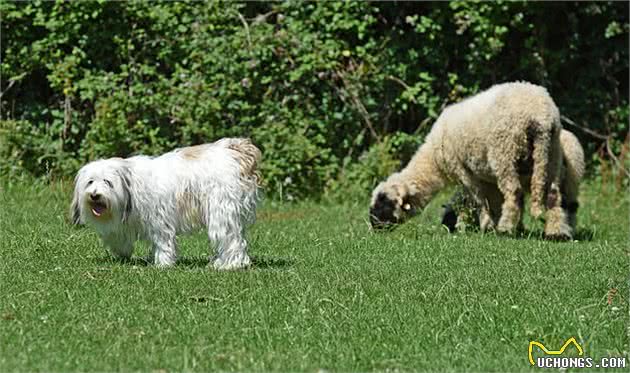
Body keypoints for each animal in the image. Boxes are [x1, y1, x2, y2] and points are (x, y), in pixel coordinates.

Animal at [71, 138, 262, 268]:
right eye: (90, 182)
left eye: (107, 182)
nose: (94, 195)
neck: (130, 187)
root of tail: (236, 151)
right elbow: (118, 237)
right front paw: (122, 253)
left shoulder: (159, 219)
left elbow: (163, 241)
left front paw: (162, 264)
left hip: (221, 212)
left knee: (233, 240)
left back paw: (229, 265)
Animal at [370, 80, 572, 238]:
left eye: (383, 202)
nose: (373, 227)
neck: (433, 159)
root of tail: (541, 116)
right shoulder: (486, 178)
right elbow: (491, 201)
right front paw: (496, 225)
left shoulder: (464, 171)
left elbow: (479, 200)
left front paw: (486, 226)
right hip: (551, 154)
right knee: (553, 194)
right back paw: (556, 233)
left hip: (505, 153)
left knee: (514, 191)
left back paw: (505, 228)